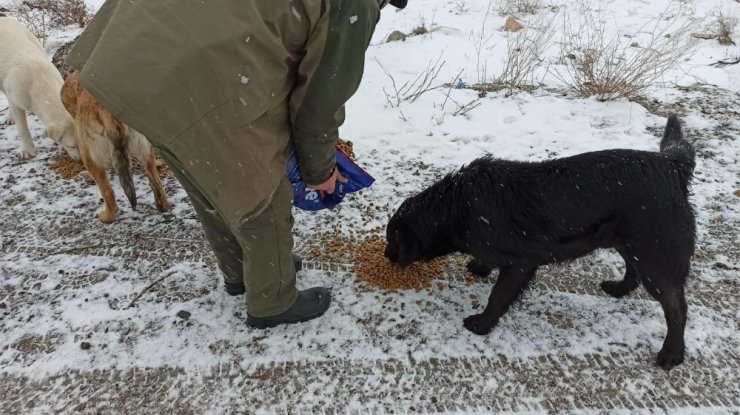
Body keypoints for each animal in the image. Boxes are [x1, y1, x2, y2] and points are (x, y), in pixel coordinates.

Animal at [0, 16, 79, 159]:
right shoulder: (16, 101)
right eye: (71, 146)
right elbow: (22, 128)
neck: (39, 80)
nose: (81, 161)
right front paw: (28, 149)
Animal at [61, 71, 172, 223]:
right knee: (155, 181)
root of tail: (109, 114)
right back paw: (164, 205)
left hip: (89, 156)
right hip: (143, 147)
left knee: (107, 191)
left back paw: (108, 216)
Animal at [384, 114, 696, 370]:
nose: (386, 255)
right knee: (633, 270)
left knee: (677, 308)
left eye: (391, 239)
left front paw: (482, 324)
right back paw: (618, 289)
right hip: (631, 242)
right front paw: (481, 267)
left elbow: (497, 298)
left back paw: (671, 355)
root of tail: (672, 166)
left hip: (656, 254)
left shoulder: (520, 265)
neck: (457, 205)